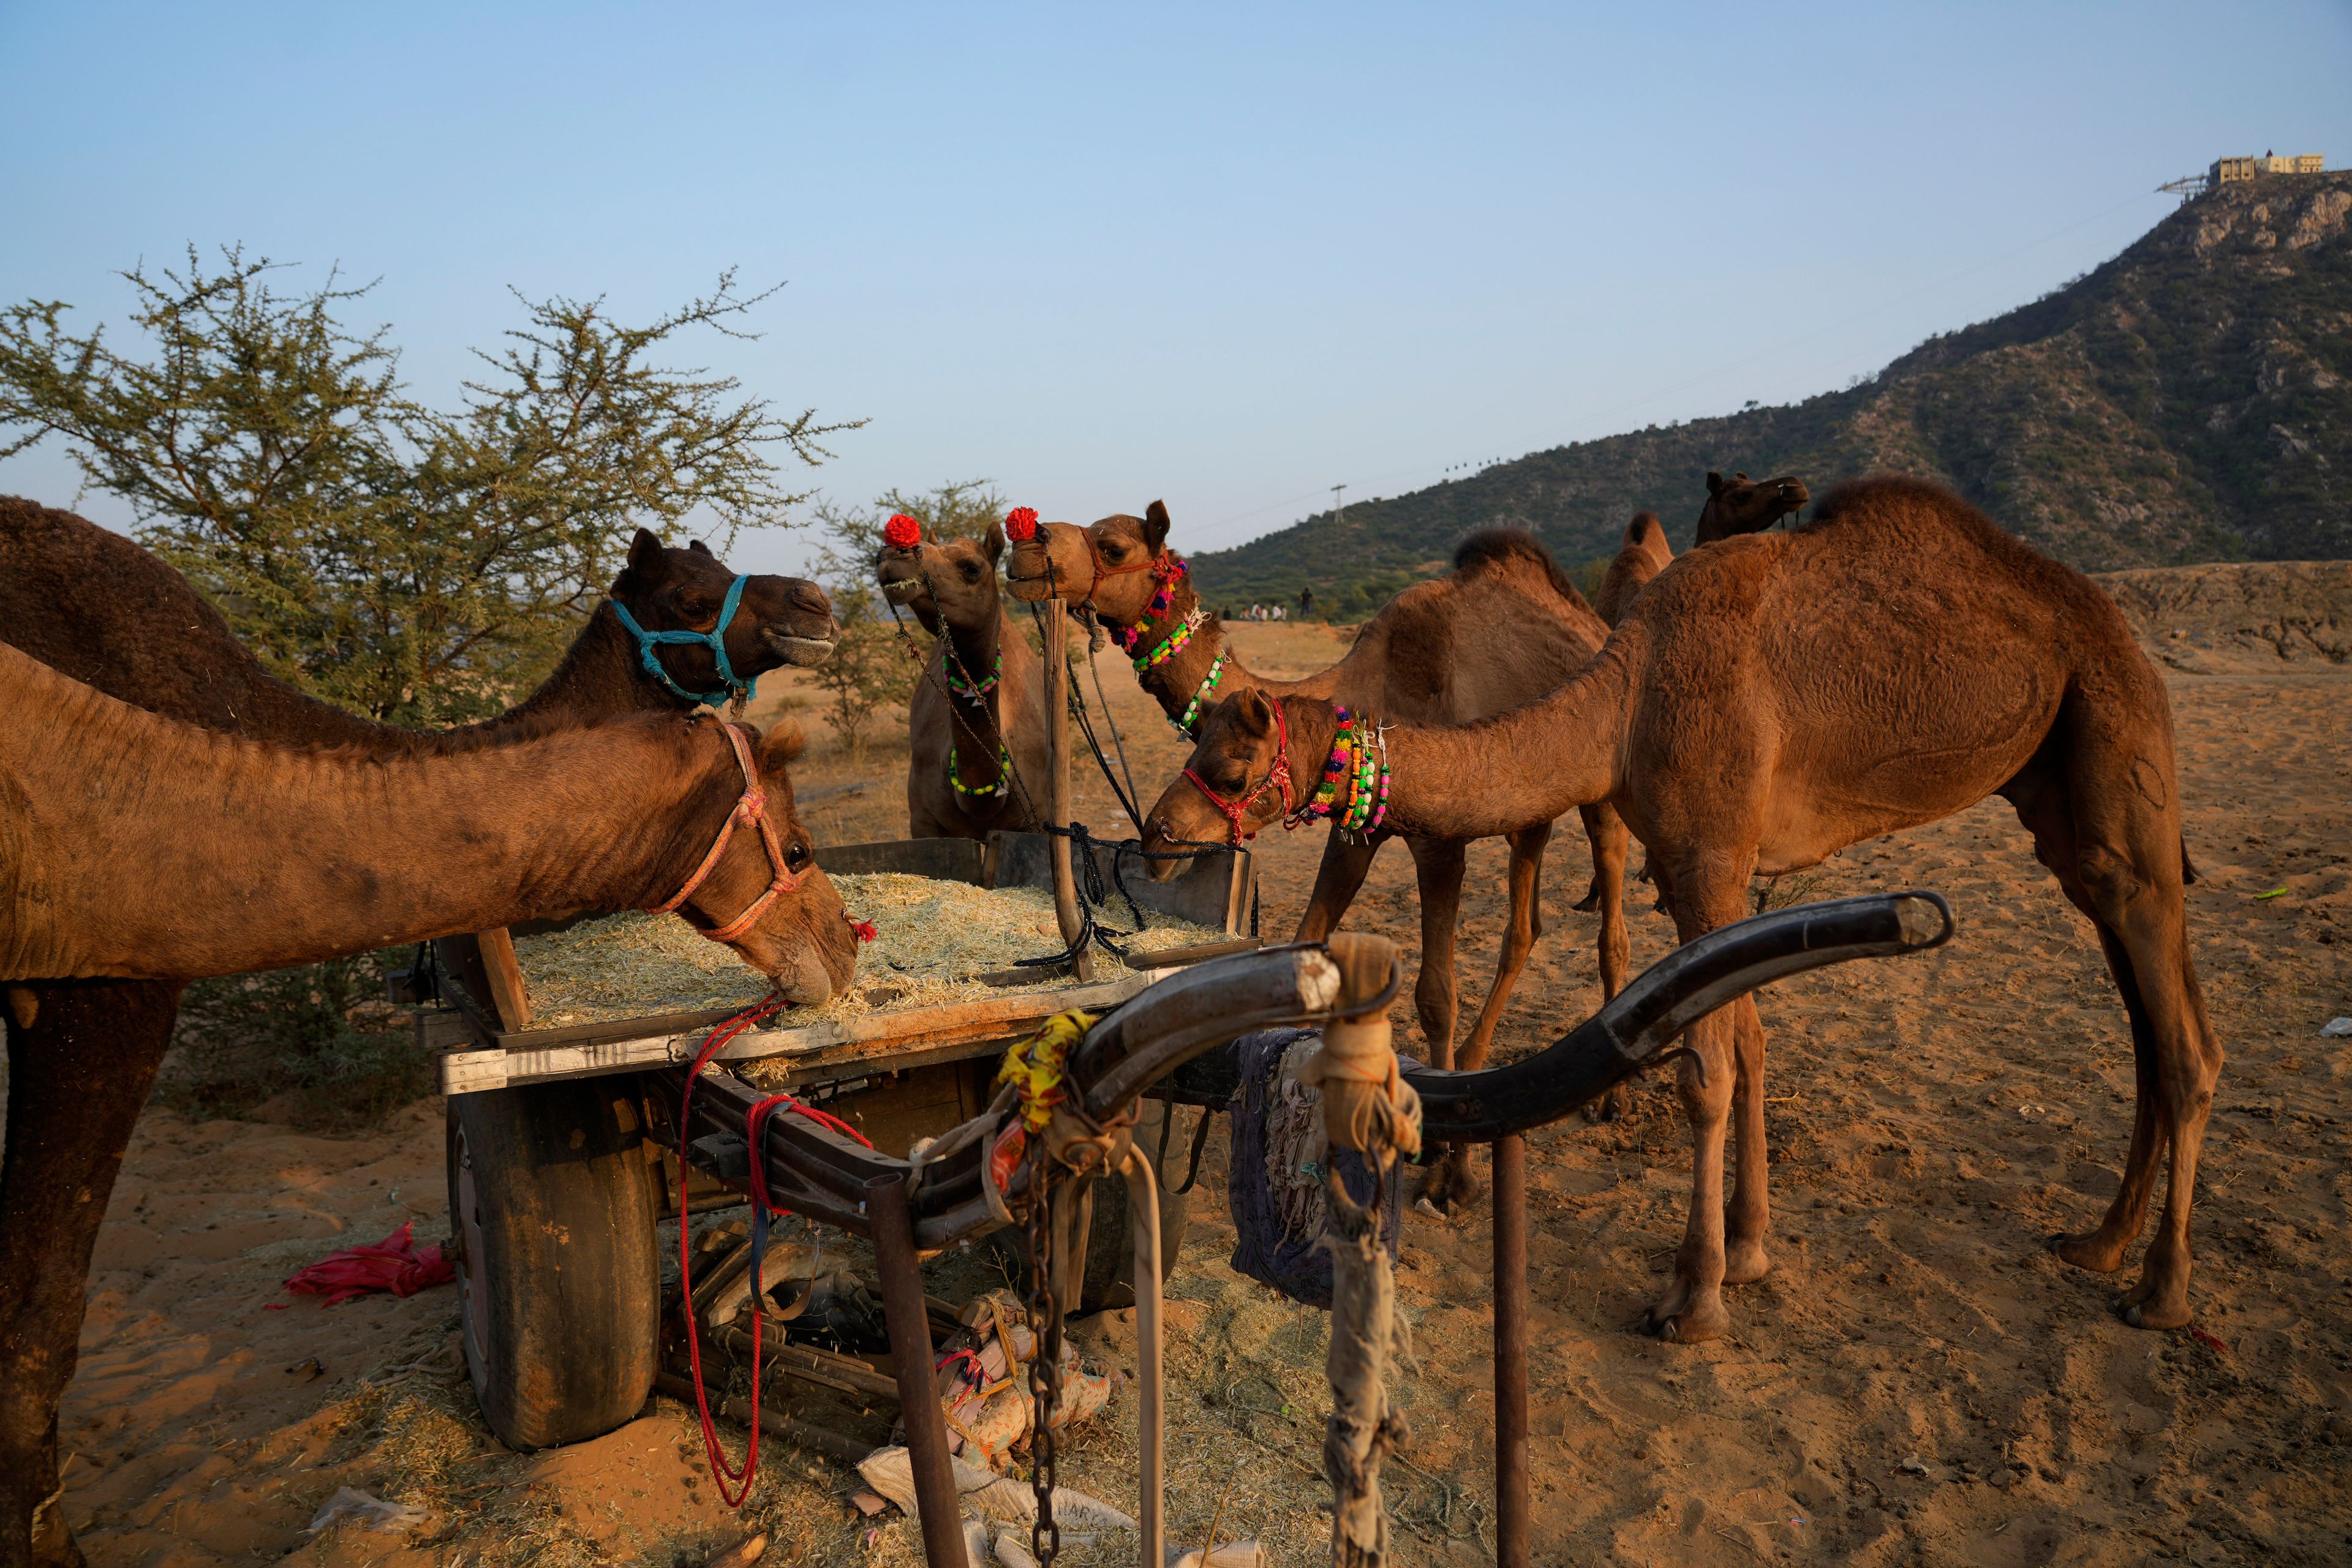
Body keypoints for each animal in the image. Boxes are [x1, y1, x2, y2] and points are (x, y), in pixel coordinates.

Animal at [1011, 505, 1637, 1114]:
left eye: (1113, 546)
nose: (1024, 542)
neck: (1372, 697)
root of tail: (1589, 624)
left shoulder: (1441, 840)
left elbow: (1435, 995)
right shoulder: (1355, 827)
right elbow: (1308, 934)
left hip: (1605, 788)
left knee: (1607, 923)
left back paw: (1610, 1098)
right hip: (1530, 811)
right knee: (1526, 926)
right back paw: (1477, 1054)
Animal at [1152, 475, 2220, 1335]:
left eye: (1232, 765)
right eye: (1198, 744)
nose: (1162, 827)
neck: (1624, 699)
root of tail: (2116, 624)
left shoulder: (1709, 851)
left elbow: (1709, 1067)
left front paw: (1696, 1294)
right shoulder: (1689, 862)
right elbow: (1745, 1042)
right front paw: (1748, 1251)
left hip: (2120, 724)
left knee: (2180, 1029)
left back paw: (2163, 1291)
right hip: (2058, 785)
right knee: (2141, 1002)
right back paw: (2101, 1242)